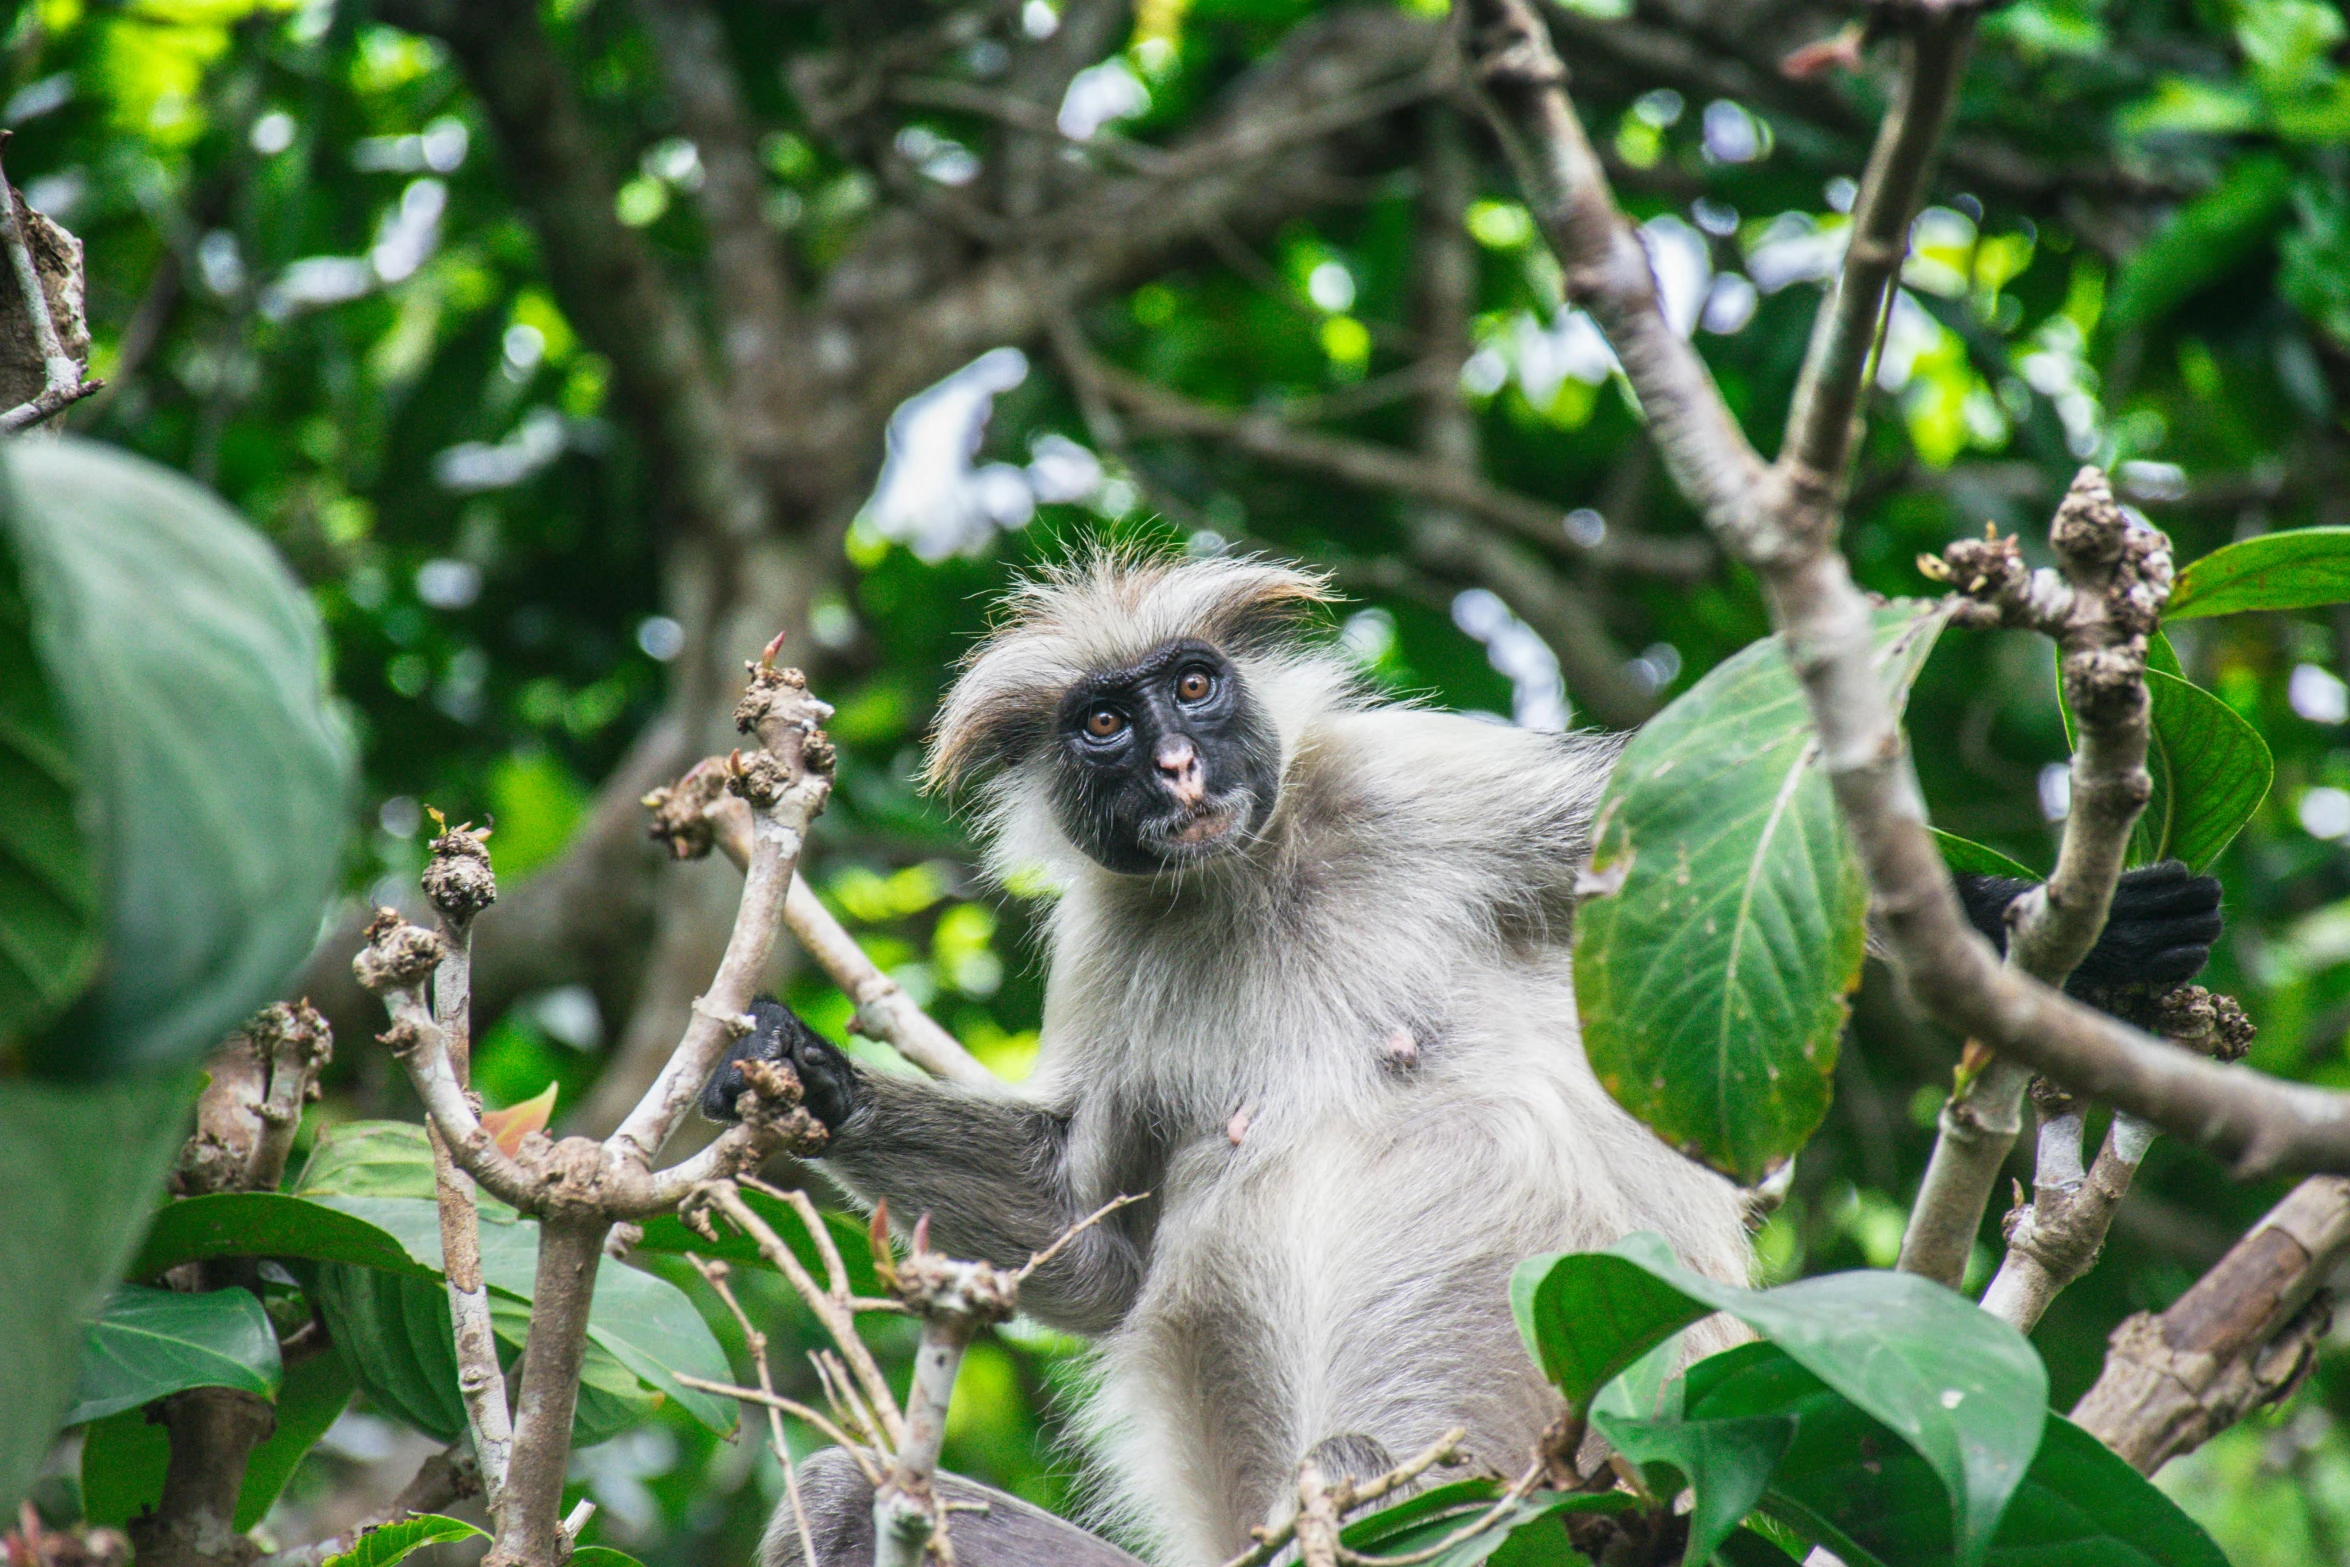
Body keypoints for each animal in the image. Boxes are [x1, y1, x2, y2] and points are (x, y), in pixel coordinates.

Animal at [709, 552, 2218, 1567]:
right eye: (1105, 724)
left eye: (1193, 685)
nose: (1181, 768)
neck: (1248, 880)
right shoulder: (1110, 934)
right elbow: (1092, 1251)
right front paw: (803, 1074)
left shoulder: (1420, 783)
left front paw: (2058, 935)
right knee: (845, 1492)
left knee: (1370, 1461)